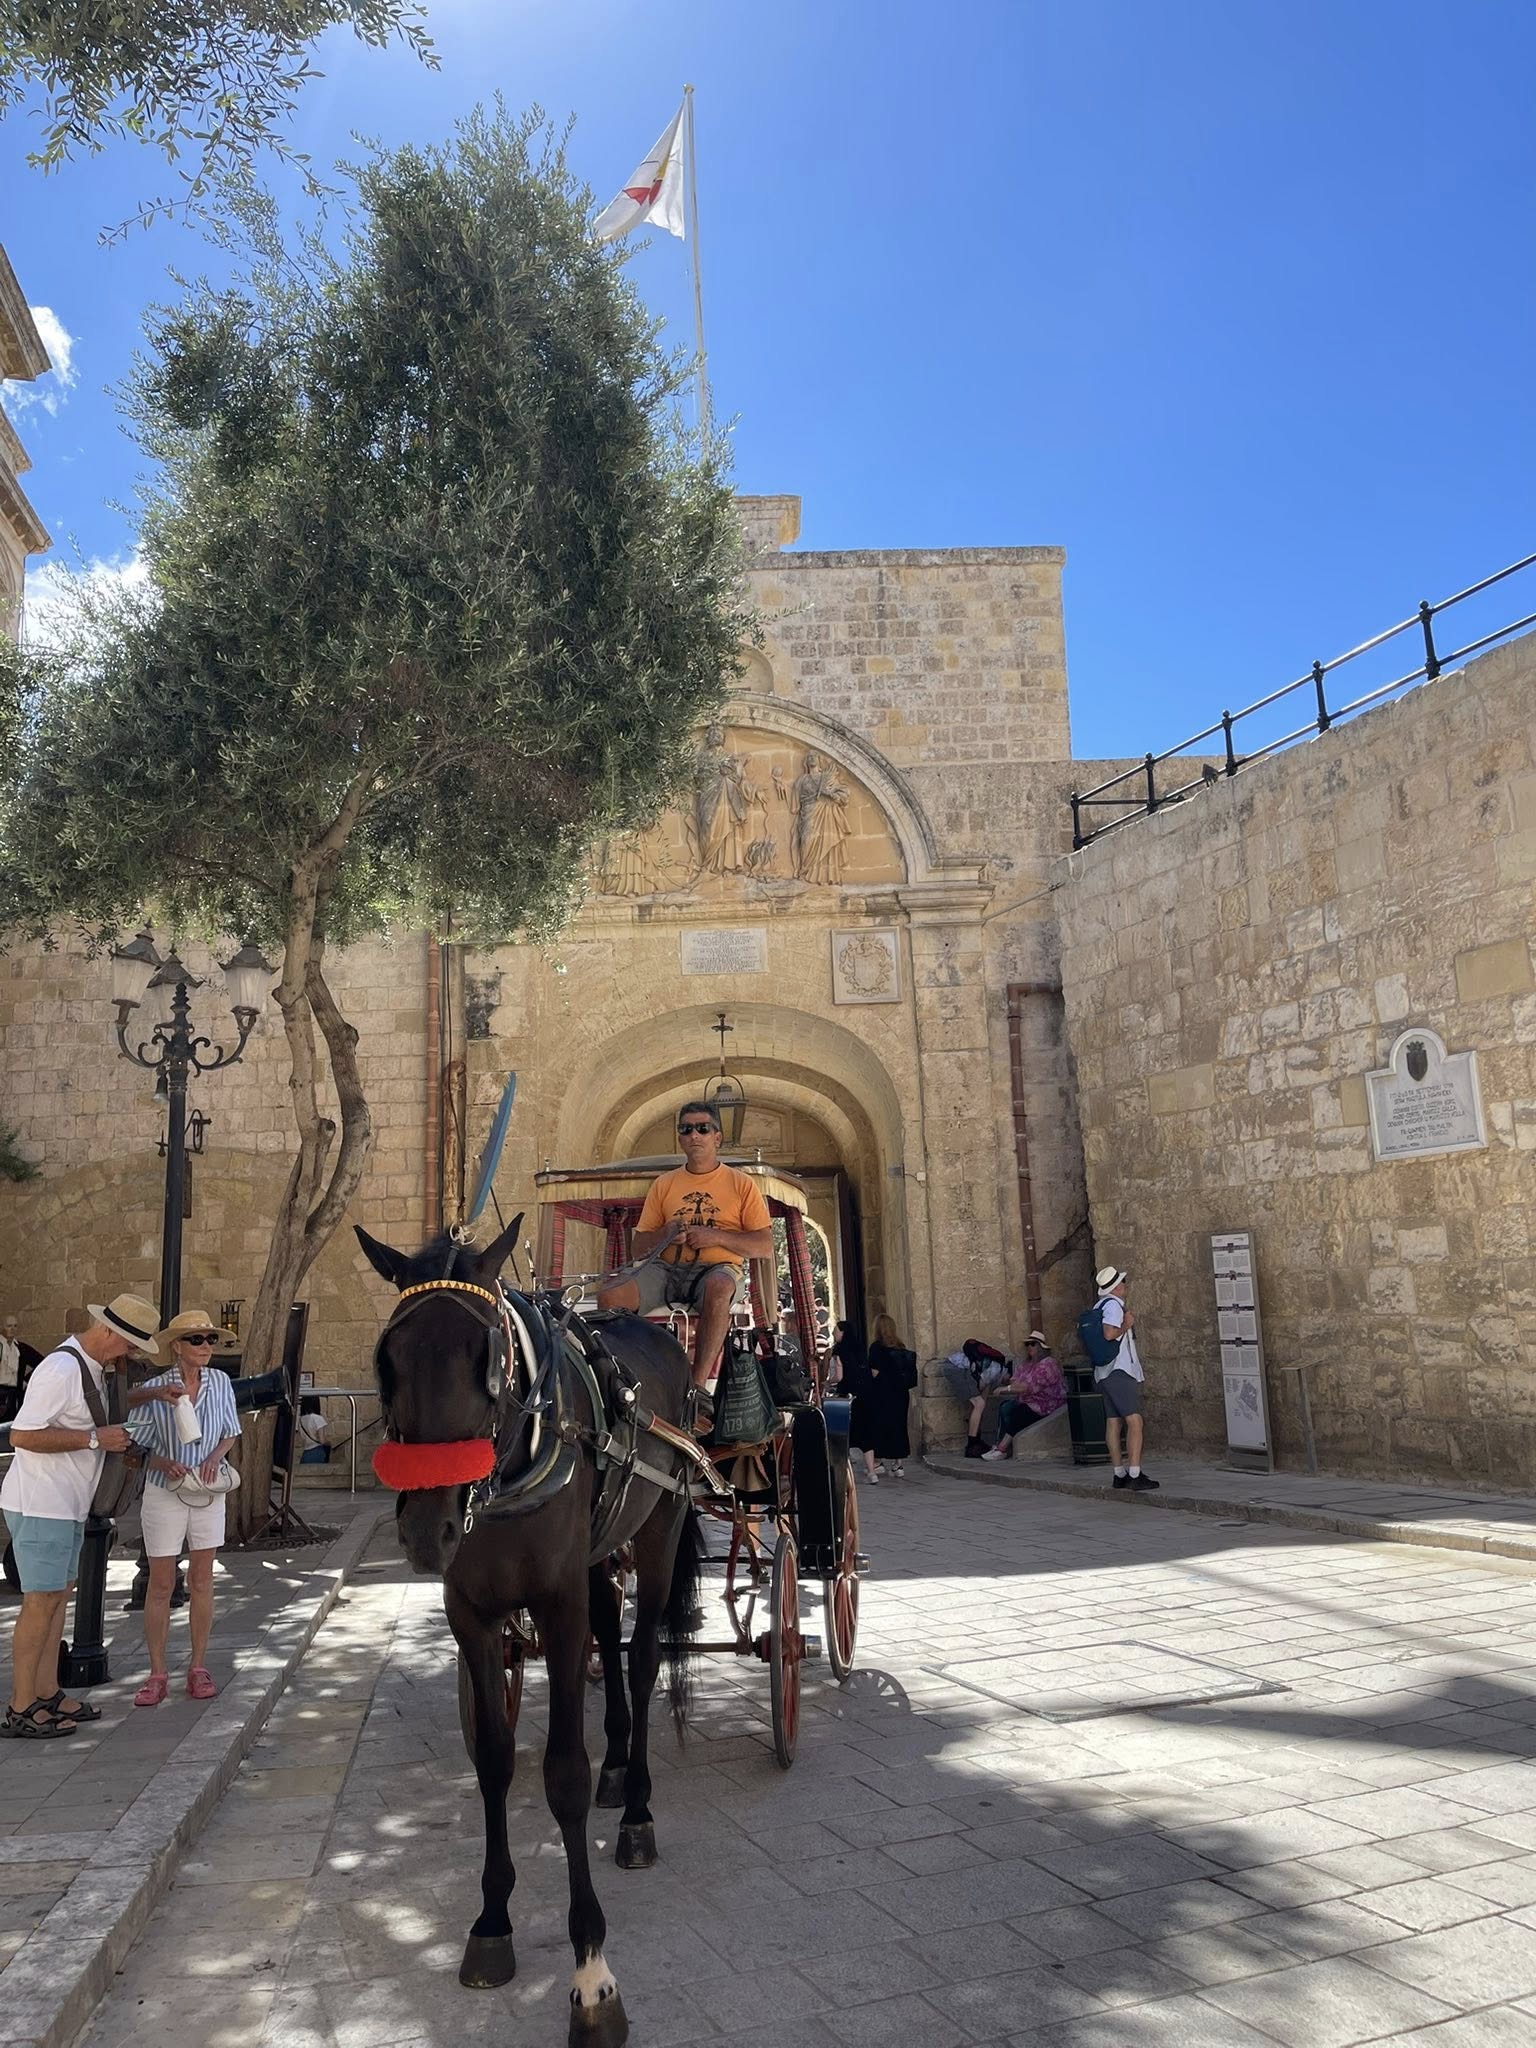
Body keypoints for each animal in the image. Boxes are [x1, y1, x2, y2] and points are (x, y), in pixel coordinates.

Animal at [357, 1213, 702, 2048]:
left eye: (486, 1355)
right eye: (388, 1357)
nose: (427, 1528)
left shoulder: (556, 1599)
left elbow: (563, 1774)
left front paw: (592, 1974)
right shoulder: (471, 1613)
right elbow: (491, 1760)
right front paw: (491, 1921)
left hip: (662, 1526)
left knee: (641, 1658)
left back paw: (636, 1810)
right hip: (600, 1552)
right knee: (610, 1635)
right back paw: (620, 1768)